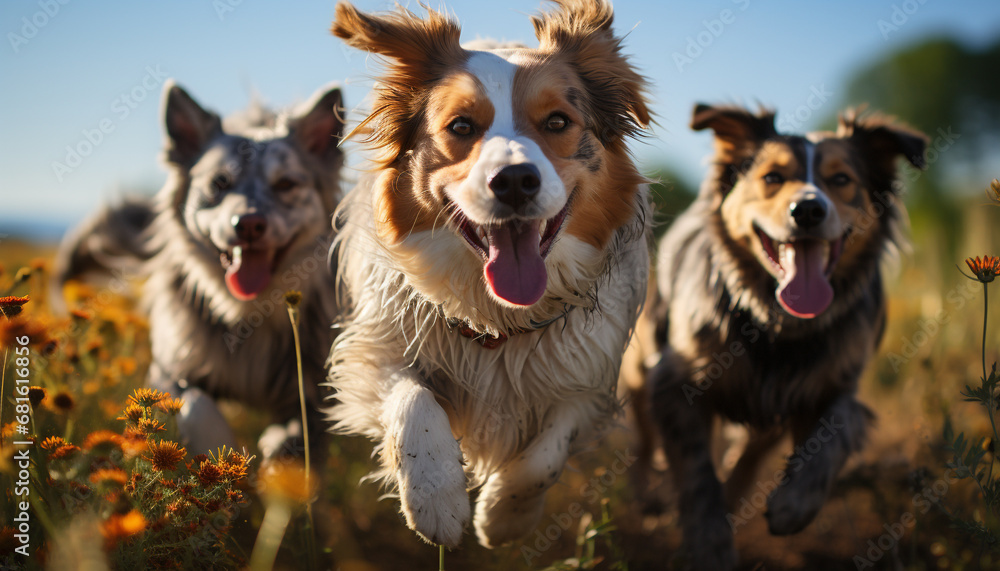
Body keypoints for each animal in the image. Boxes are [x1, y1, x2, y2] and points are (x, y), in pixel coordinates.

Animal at [54, 80, 346, 464]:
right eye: (219, 183)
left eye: (285, 184)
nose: (248, 224)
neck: (247, 313)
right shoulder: (169, 370)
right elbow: (196, 406)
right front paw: (220, 458)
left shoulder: (314, 394)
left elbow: (296, 441)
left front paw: (275, 460)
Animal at [326, 0, 648, 548]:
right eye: (460, 127)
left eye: (558, 121)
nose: (515, 180)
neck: (498, 316)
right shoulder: (376, 349)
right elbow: (413, 402)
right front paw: (436, 498)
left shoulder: (590, 376)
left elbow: (545, 455)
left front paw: (503, 517)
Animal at [644, 105, 924, 568]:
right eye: (773, 177)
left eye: (841, 179)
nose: (808, 210)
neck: (780, 322)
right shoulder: (673, 379)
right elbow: (697, 468)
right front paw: (709, 542)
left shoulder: (835, 382)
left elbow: (837, 427)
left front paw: (794, 504)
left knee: (755, 447)